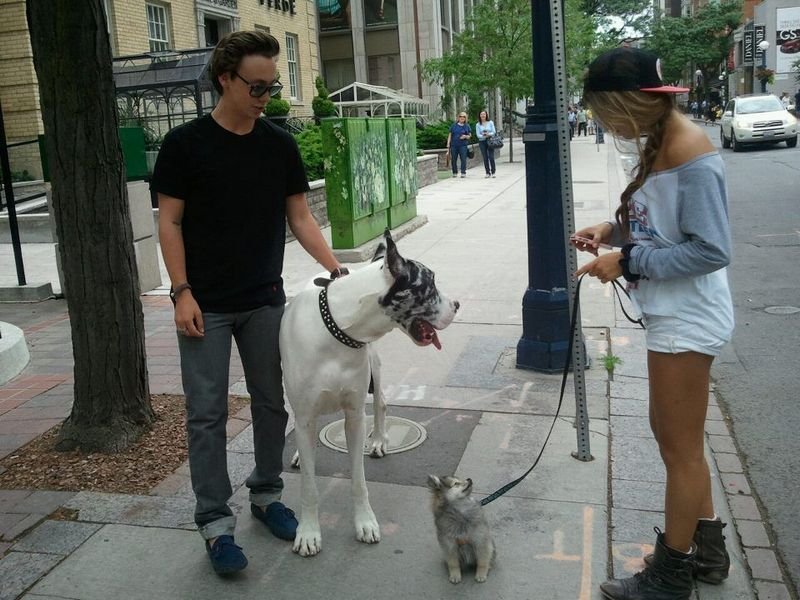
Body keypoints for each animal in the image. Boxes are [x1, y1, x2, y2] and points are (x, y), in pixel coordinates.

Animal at [280, 230, 459, 557]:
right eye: (430, 285)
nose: (457, 304)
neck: (336, 328)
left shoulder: (354, 415)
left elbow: (358, 480)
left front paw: (364, 522)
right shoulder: (306, 412)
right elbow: (309, 485)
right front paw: (308, 532)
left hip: (373, 365)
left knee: (380, 404)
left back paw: (377, 440)